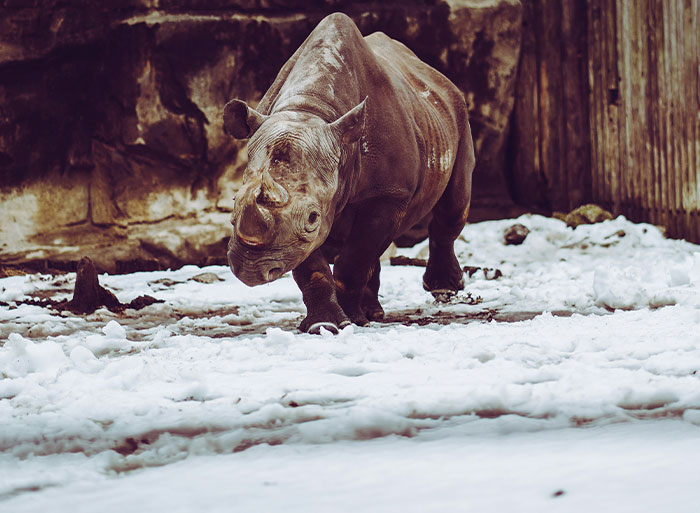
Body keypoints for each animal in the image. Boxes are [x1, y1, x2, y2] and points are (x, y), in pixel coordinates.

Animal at [224, 13, 475, 334]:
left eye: (312, 217)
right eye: (234, 204)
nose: (250, 269)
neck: (310, 108)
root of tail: (436, 76)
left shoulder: (389, 194)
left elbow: (354, 258)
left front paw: (349, 322)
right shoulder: (298, 227)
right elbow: (313, 267)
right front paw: (324, 325)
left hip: (457, 113)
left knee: (453, 205)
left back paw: (441, 290)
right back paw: (373, 312)